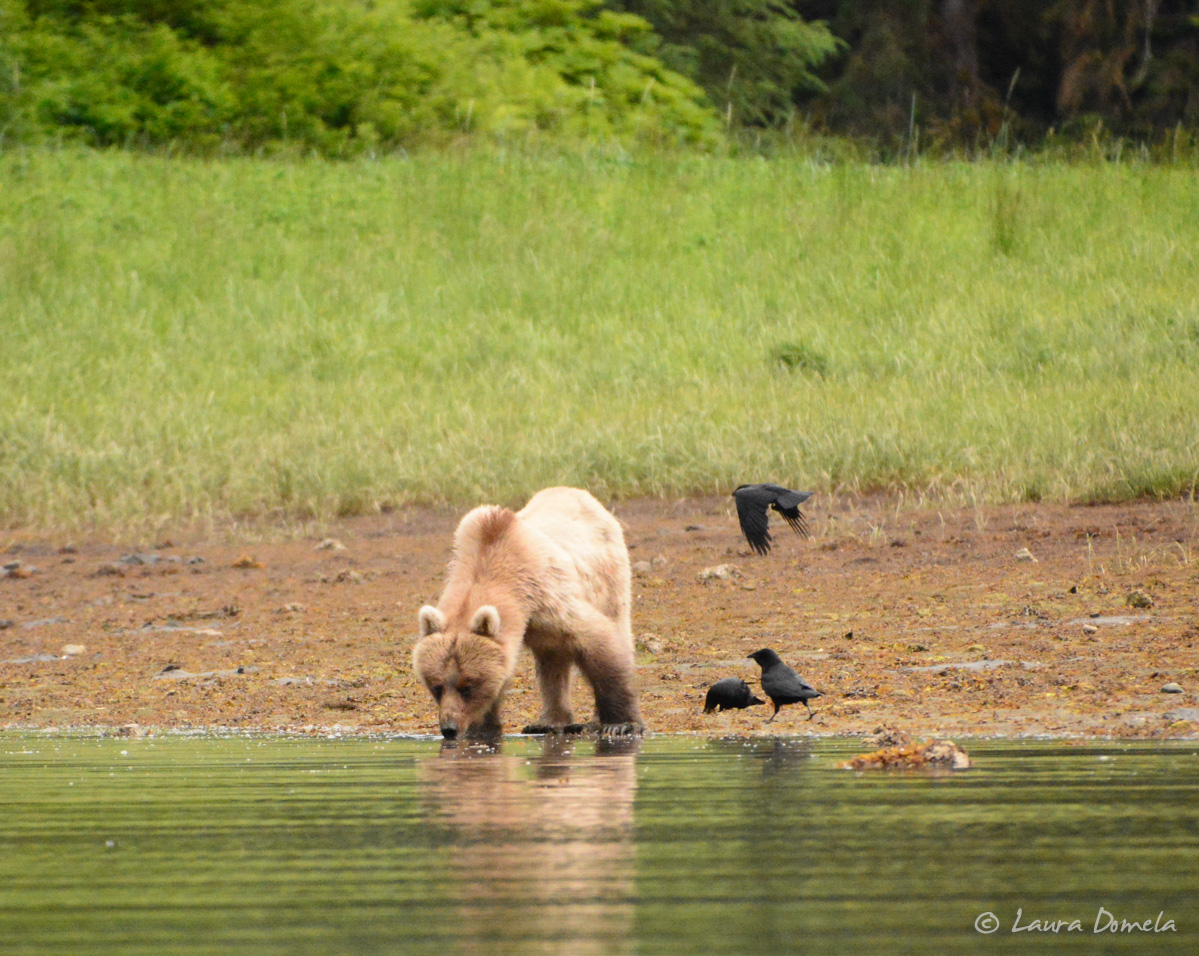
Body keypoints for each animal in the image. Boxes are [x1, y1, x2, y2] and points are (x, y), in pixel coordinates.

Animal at [414, 484, 647, 738]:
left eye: (468, 686)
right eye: (436, 686)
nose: (449, 728)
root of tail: (579, 493)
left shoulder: (550, 599)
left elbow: (601, 643)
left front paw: (621, 724)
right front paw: (483, 727)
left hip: (608, 579)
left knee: (616, 628)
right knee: (553, 665)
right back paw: (549, 722)